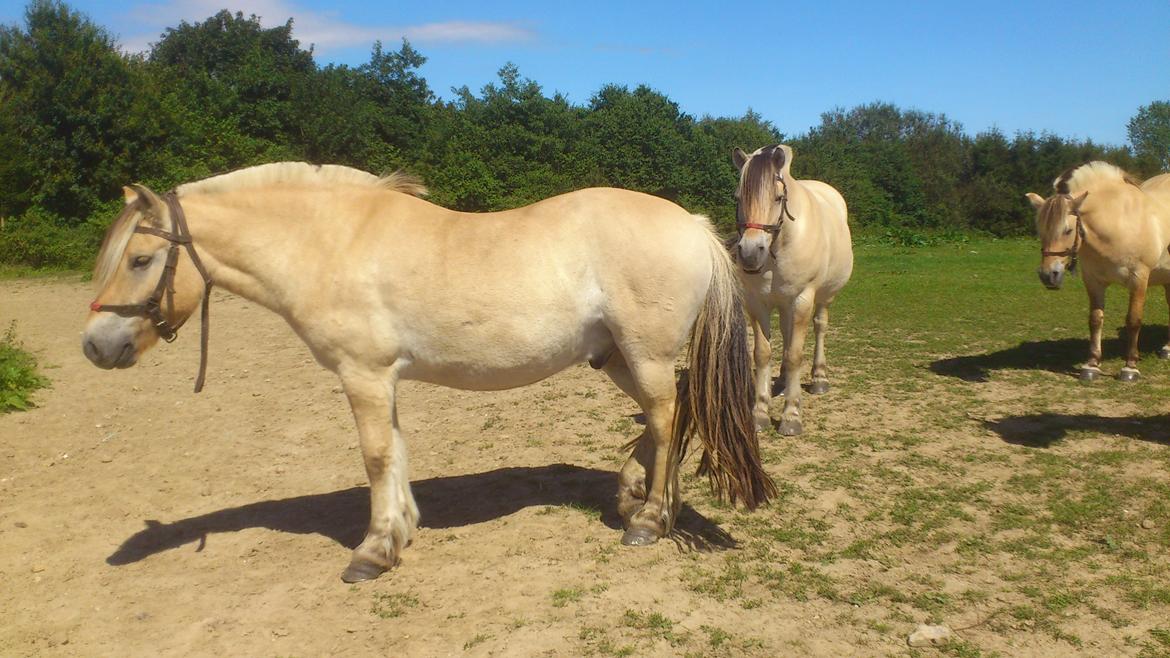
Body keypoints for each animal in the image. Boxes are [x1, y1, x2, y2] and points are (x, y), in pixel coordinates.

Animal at [82, 162, 776, 578]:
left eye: (140, 259)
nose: (94, 345)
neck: (331, 242)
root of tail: (690, 224)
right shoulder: (380, 378)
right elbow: (395, 450)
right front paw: (401, 530)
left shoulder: (362, 374)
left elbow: (375, 456)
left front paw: (372, 551)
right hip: (614, 356)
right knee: (676, 412)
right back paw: (640, 496)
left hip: (645, 353)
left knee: (663, 415)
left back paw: (651, 521)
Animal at [725, 147, 856, 435]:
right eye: (738, 197)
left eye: (777, 197)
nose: (749, 254)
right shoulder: (757, 303)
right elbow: (763, 353)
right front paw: (760, 412)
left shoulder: (802, 299)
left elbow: (795, 355)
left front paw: (791, 416)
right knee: (786, 335)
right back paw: (783, 381)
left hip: (823, 298)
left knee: (819, 327)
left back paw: (819, 378)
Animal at [1029, 159, 1170, 381]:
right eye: (1040, 231)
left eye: (1067, 230)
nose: (1048, 275)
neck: (1118, 222)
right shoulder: (1093, 280)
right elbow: (1095, 319)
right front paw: (1092, 365)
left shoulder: (1139, 279)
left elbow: (1133, 320)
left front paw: (1130, 367)